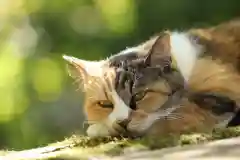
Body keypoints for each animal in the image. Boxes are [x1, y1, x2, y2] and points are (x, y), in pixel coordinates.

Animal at [62, 18, 240, 137]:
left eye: (139, 95)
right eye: (104, 104)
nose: (122, 122)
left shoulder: (221, 98)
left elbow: (167, 119)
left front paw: (98, 129)